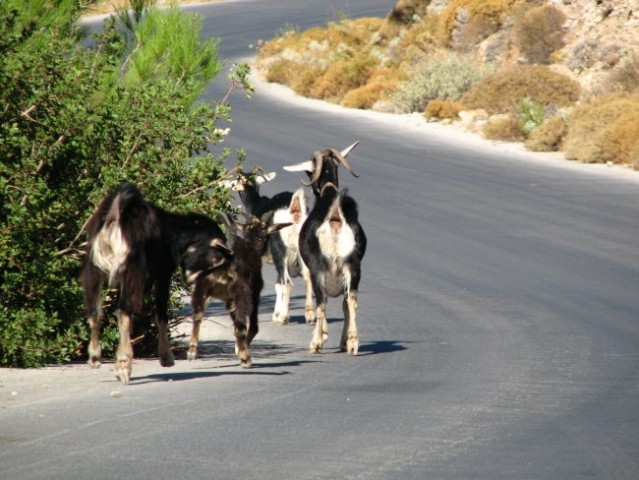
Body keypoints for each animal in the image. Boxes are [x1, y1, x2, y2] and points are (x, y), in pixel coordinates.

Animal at [81, 182, 232, 384]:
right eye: (216, 258)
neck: (172, 233)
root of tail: (115, 217)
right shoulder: (162, 274)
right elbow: (161, 313)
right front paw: (166, 357)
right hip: (132, 269)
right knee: (123, 311)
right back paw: (123, 365)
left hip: (93, 268)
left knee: (94, 311)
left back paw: (95, 357)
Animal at [189, 212, 292, 366]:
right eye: (264, 236)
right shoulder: (254, 290)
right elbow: (251, 325)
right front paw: (239, 349)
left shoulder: (229, 298)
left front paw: (238, 346)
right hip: (241, 290)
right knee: (242, 322)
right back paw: (245, 358)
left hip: (202, 287)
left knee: (197, 314)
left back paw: (192, 351)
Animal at [284, 141, 368, 354]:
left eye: (308, 172)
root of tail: (336, 214)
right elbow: (345, 305)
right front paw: (344, 341)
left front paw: (322, 336)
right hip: (353, 266)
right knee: (351, 300)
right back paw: (353, 342)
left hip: (318, 269)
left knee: (322, 302)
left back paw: (315, 344)